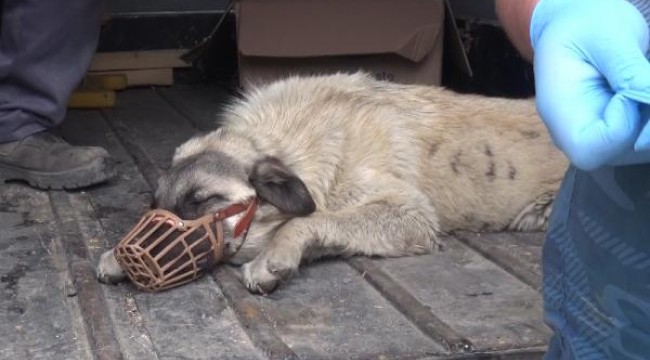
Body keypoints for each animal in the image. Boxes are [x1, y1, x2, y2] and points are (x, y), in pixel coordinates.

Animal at [96, 71, 568, 294]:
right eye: (154, 204)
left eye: (203, 200)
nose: (136, 256)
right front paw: (115, 256)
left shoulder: (409, 214)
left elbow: (306, 221)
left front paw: (274, 257)